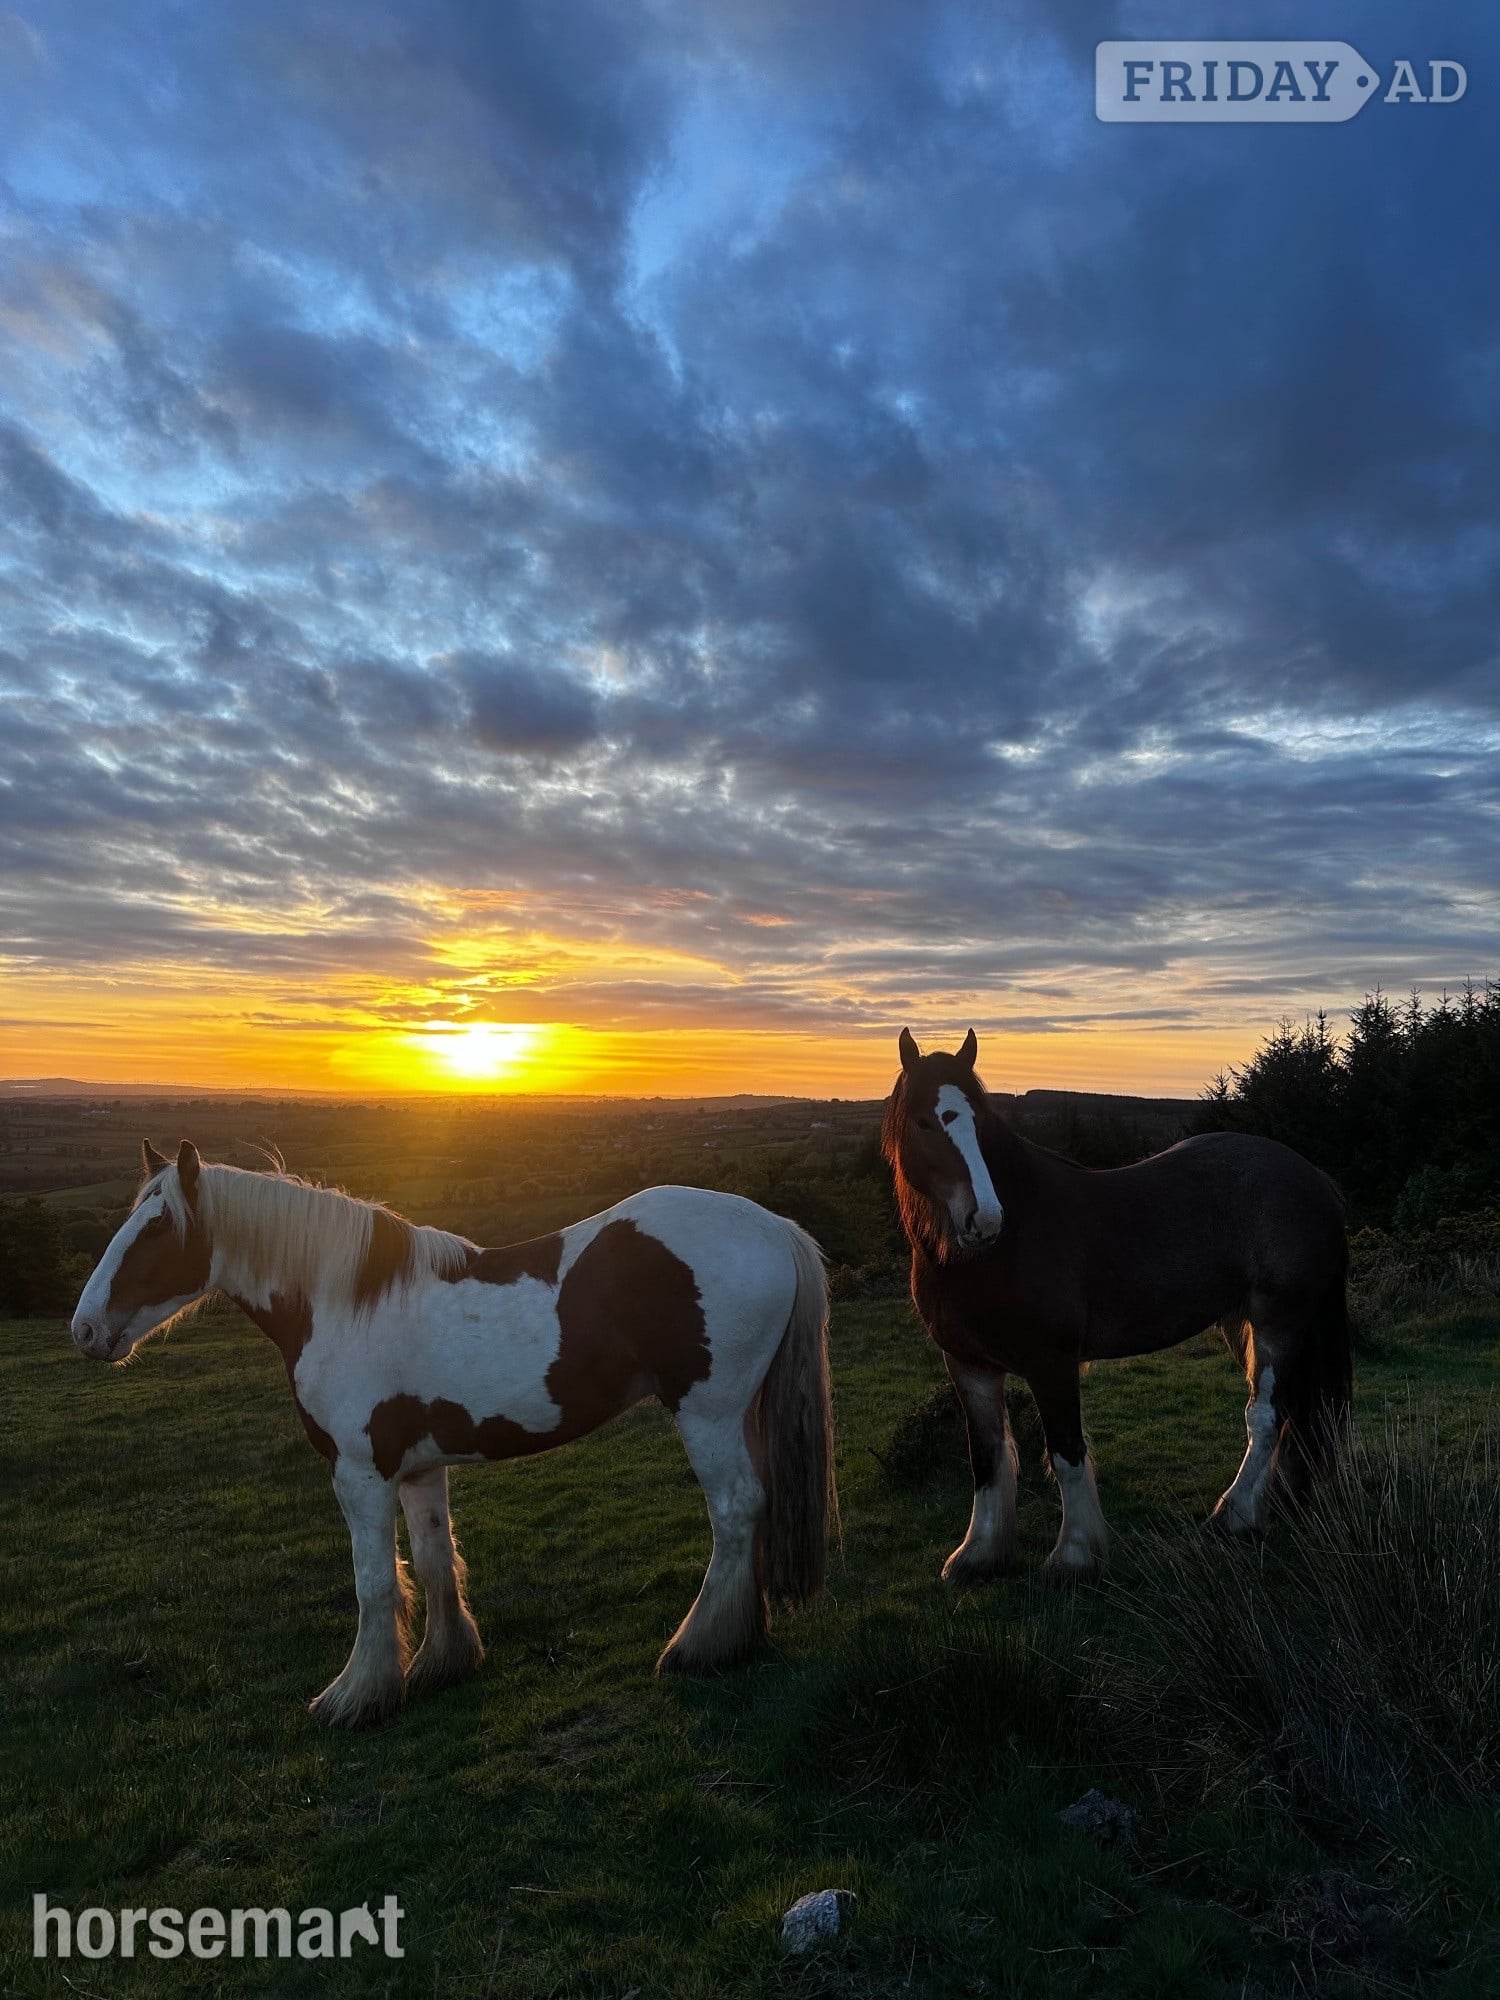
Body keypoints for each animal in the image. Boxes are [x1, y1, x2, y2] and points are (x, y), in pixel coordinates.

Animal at [70, 1141, 836, 1727]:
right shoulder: (415, 1469)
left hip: (707, 1414)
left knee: (735, 1511)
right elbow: (436, 1561)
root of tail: (773, 1227)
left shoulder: (360, 1474)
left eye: (156, 1229)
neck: (343, 1304)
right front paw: (444, 1662)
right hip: (741, 1413)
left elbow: (376, 1583)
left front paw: (356, 1696)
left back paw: (697, 1646)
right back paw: (742, 1634)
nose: (85, 1329)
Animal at [883, 1030, 1351, 1581]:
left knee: (1265, 1414)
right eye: (923, 1122)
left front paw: (1073, 1557)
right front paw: (978, 1554)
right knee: (1289, 1411)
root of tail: (1310, 1175)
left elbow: (1066, 1453)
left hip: (1279, 1319)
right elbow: (987, 1456)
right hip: (1245, 1324)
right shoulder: (968, 1365)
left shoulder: (1052, 1362)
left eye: (979, 1119)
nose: (986, 1219)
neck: (999, 1251)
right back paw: (1261, 1514)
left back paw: (1229, 1519)